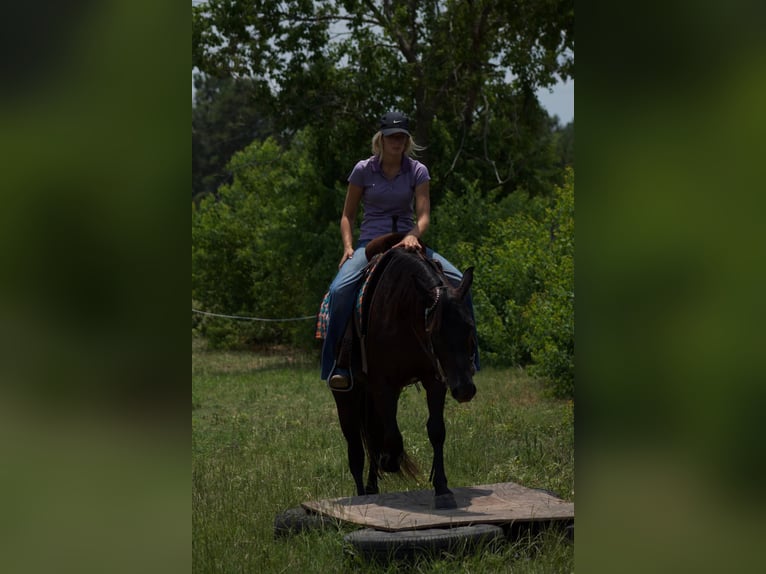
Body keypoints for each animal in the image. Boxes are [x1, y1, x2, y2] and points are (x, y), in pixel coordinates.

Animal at [332, 236, 476, 510]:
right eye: (435, 331)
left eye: (469, 327)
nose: (465, 389)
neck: (403, 310)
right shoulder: (383, 383)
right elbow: (391, 437)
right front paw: (390, 460)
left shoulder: (435, 380)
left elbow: (436, 430)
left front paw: (443, 490)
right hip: (347, 396)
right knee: (356, 448)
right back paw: (363, 494)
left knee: (373, 436)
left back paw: (372, 488)